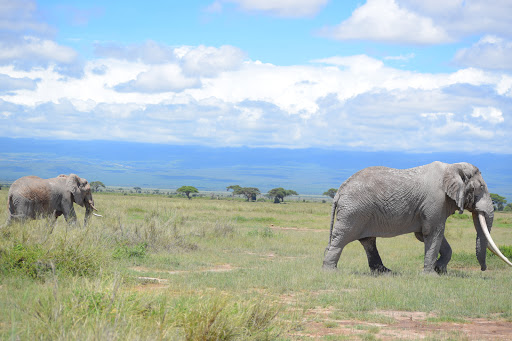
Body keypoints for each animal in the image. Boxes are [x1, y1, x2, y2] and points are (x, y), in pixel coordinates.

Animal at [324, 162, 512, 274]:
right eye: (481, 188)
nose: (483, 269)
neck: (452, 167)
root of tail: (339, 191)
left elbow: (428, 234)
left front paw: (440, 270)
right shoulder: (435, 201)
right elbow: (433, 233)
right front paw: (431, 274)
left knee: (368, 241)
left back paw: (385, 272)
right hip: (354, 212)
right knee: (342, 238)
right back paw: (331, 271)